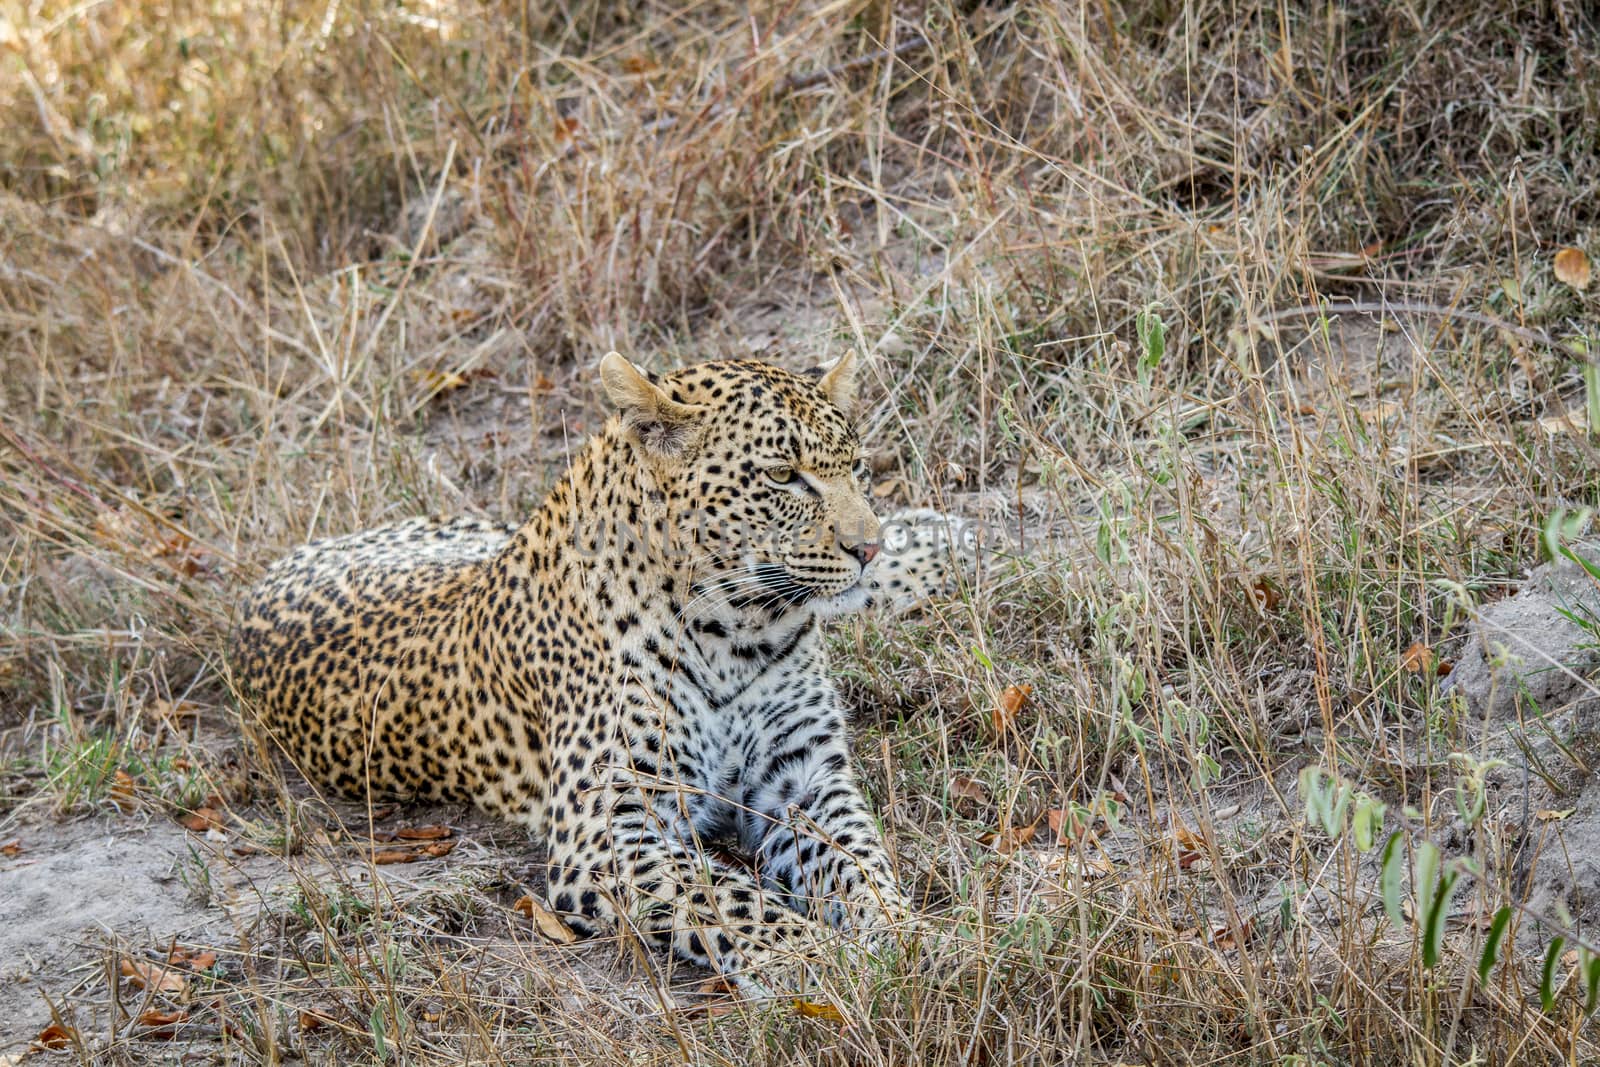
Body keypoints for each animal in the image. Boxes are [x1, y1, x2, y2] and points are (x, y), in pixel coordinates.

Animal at [230, 350, 966, 991]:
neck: (741, 632)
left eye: (855, 466)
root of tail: (281, 564)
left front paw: (908, 939)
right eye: (783, 476)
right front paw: (818, 961)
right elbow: (733, 898)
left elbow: (861, 863)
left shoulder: (804, 779)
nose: (868, 546)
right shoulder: (611, 827)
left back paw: (940, 538)